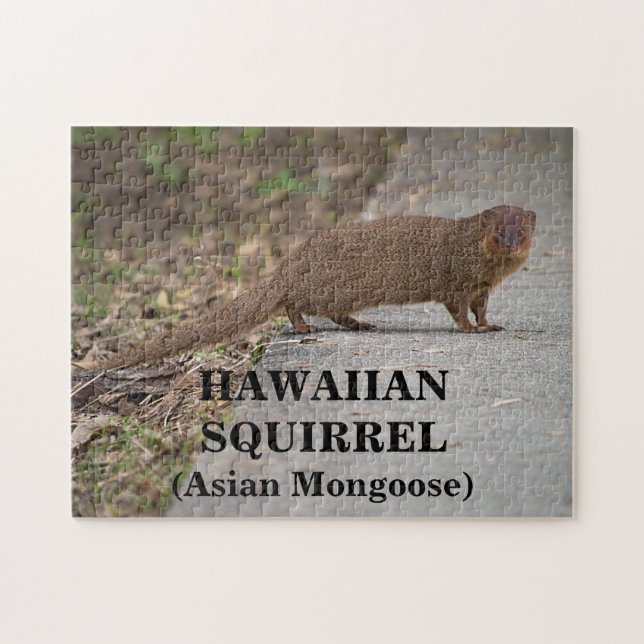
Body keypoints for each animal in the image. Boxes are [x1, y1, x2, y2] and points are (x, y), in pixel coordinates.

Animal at [101, 205, 535, 369]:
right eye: (500, 231)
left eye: (523, 230)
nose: (512, 244)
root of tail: (294, 258)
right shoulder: (456, 280)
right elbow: (458, 309)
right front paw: (470, 329)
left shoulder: (482, 287)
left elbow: (481, 308)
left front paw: (489, 325)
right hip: (326, 286)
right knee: (293, 301)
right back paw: (304, 326)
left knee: (332, 311)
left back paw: (360, 324)